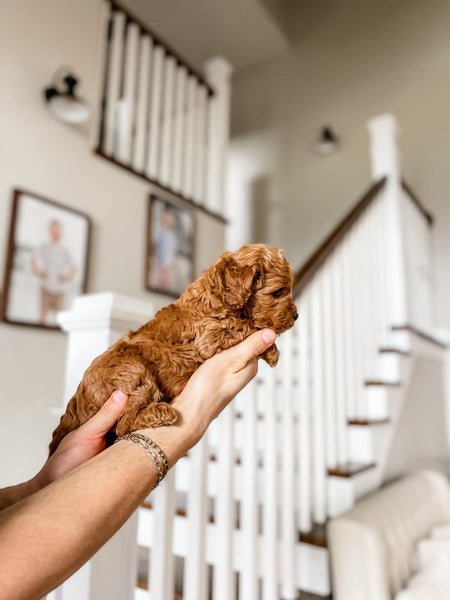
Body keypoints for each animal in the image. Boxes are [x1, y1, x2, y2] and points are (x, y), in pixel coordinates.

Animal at [49, 244, 298, 454]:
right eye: (277, 292)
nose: (296, 316)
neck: (218, 296)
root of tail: (76, 403)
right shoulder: (208, 338)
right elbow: (244, 326)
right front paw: (272, 350)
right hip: (134, 370)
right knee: (124, 423)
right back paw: (161, 412)